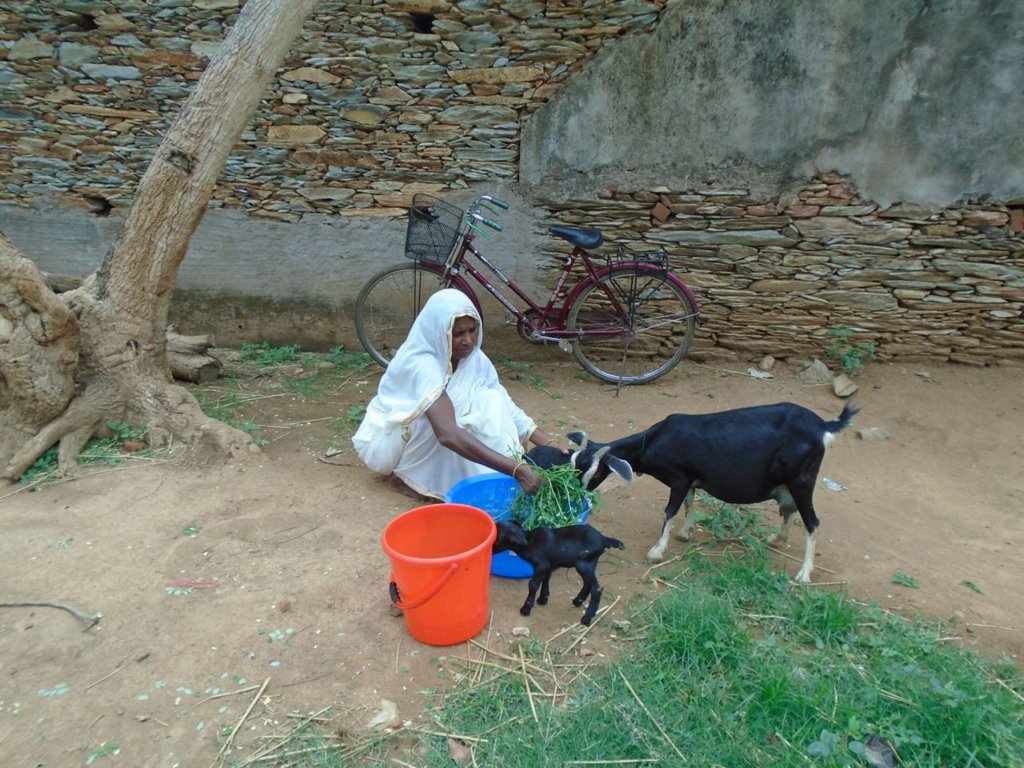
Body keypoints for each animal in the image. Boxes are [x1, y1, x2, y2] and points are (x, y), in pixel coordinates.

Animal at [492, 520, 625, 625]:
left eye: (496, 538)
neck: (529, 540)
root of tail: (604, 539)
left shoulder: (541, 565)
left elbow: (533, 584)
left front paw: (526, 608)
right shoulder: (548, 565)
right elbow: (546, 578)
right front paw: (543, 598)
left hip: (582, 564)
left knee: (596, 589)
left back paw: (587, 618)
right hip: (591, 563)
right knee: (588, 583)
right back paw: (578, 601)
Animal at [562, 401, 859, 584]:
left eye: (595, 474)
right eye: (574, 462)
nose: (576, 499)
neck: (655, 440)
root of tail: (824, 427)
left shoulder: (680, 478)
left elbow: (670, 511)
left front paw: (657, 551)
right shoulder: (691, 481)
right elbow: (689, 505)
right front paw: (685, 532)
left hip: (802, 480)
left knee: (812, 521)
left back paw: (804, 573)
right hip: (789, 483)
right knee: (789, 509)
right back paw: (777, 539)